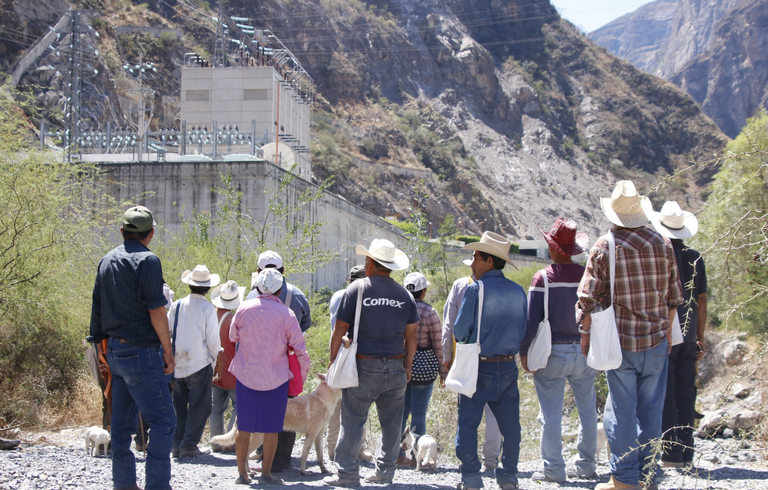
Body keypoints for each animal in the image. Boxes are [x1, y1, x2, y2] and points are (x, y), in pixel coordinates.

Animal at [212, 376, 340, 474]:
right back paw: (248, 473)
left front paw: (324, 470)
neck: (323, 400)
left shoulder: (319, 435)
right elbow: (304, 456)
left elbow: (320, 457)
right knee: (245, 454)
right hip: (258, 439)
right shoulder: (311, 435)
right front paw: (303, 472)